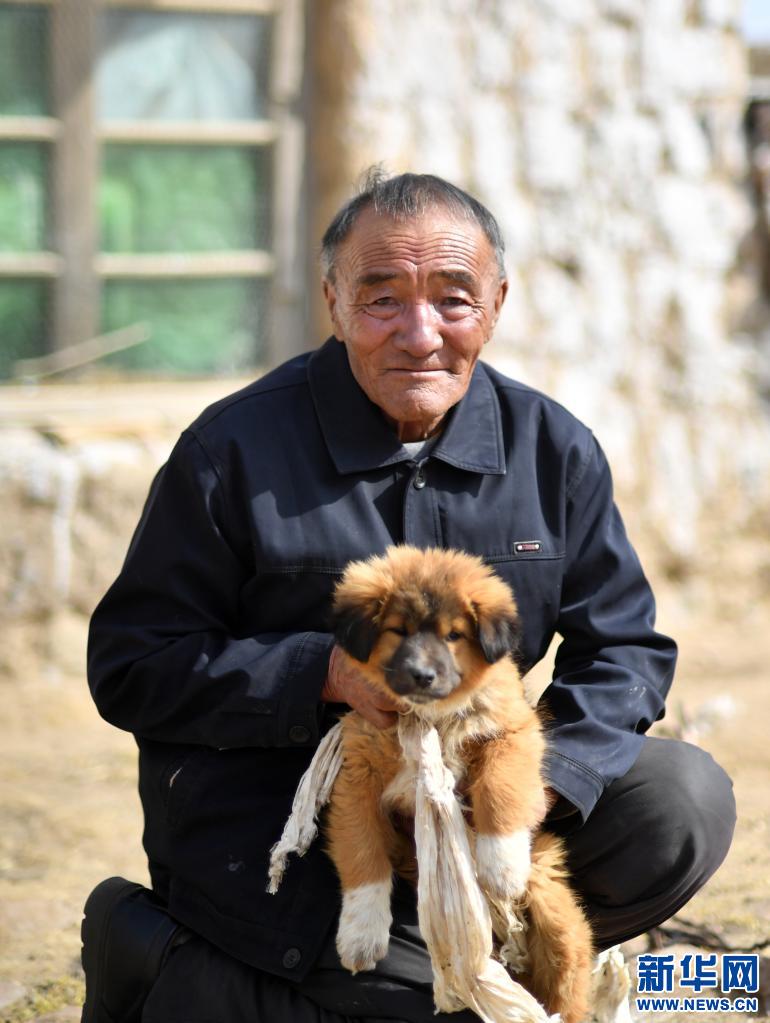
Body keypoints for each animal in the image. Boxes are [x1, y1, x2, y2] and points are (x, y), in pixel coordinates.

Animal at [327, 545, 593, 1023]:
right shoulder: (357, 778)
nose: (421, 675)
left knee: (569, 975)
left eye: (453, 636)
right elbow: (362, 856)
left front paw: (501, 864)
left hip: (554, 912)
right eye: (398, 630)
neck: (429, 717)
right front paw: (361, 934)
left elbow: (500, 791)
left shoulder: (511, 732)